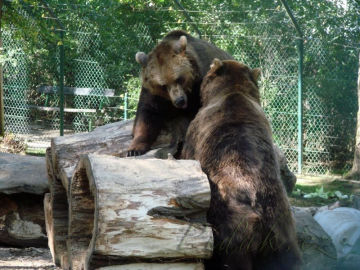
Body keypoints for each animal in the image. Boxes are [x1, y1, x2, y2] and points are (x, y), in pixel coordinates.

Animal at [181, 59, 302, 270]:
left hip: (231, 222)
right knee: (289, 258)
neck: (233, 91)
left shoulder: (196, 130)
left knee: (230, 257)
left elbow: (187, 152)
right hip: (282, 228)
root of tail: (259, 210)